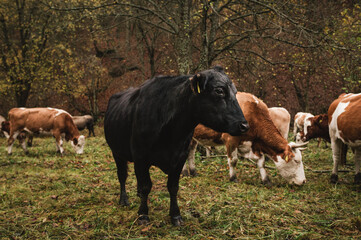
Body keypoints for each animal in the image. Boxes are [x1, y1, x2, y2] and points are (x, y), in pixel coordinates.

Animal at [103, 66, 248, 226]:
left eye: (235, 92)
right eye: (219, 91)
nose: (244, 125)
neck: (171, 132)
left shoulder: (180, 157)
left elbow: (173, 187)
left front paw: (175, 215)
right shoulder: (140, 156)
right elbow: (146, 185)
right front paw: (143, 214)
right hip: (117, 152)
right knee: (122, 175)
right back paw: (124, 200)